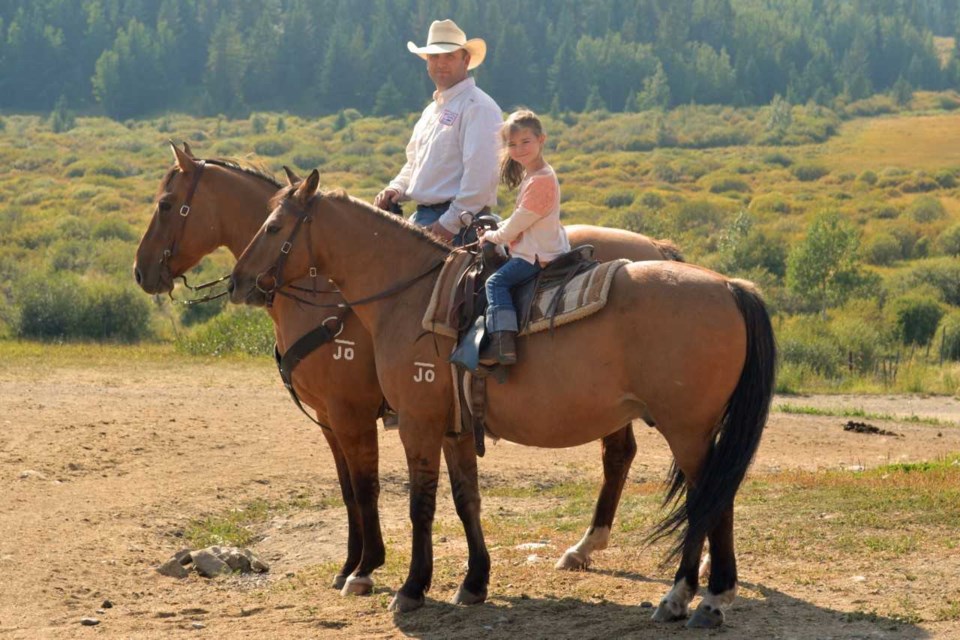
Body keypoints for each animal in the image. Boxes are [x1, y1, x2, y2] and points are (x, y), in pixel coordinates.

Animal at [133, 142, 684, 596]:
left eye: (166, 204)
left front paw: (366, 568)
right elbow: (349, 490)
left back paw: (586, 544)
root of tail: (656, 248)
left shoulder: (355, 413)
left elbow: (367, 487)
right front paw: (353, 564)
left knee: (618, 454)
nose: (141, 271)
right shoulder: (333, 420)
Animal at [229, 170, 776, 632]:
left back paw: (694, 597)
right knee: (709, 495)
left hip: (687, 429)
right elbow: (465, 499)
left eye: (273, 225)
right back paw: (697, 594)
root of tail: (729, 285)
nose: (237, 282)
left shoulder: (409, 422)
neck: (410, 298)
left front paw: (405, 587)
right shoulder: (452, 428)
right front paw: (473, 583)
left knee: (707, 499)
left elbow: (416, 504)